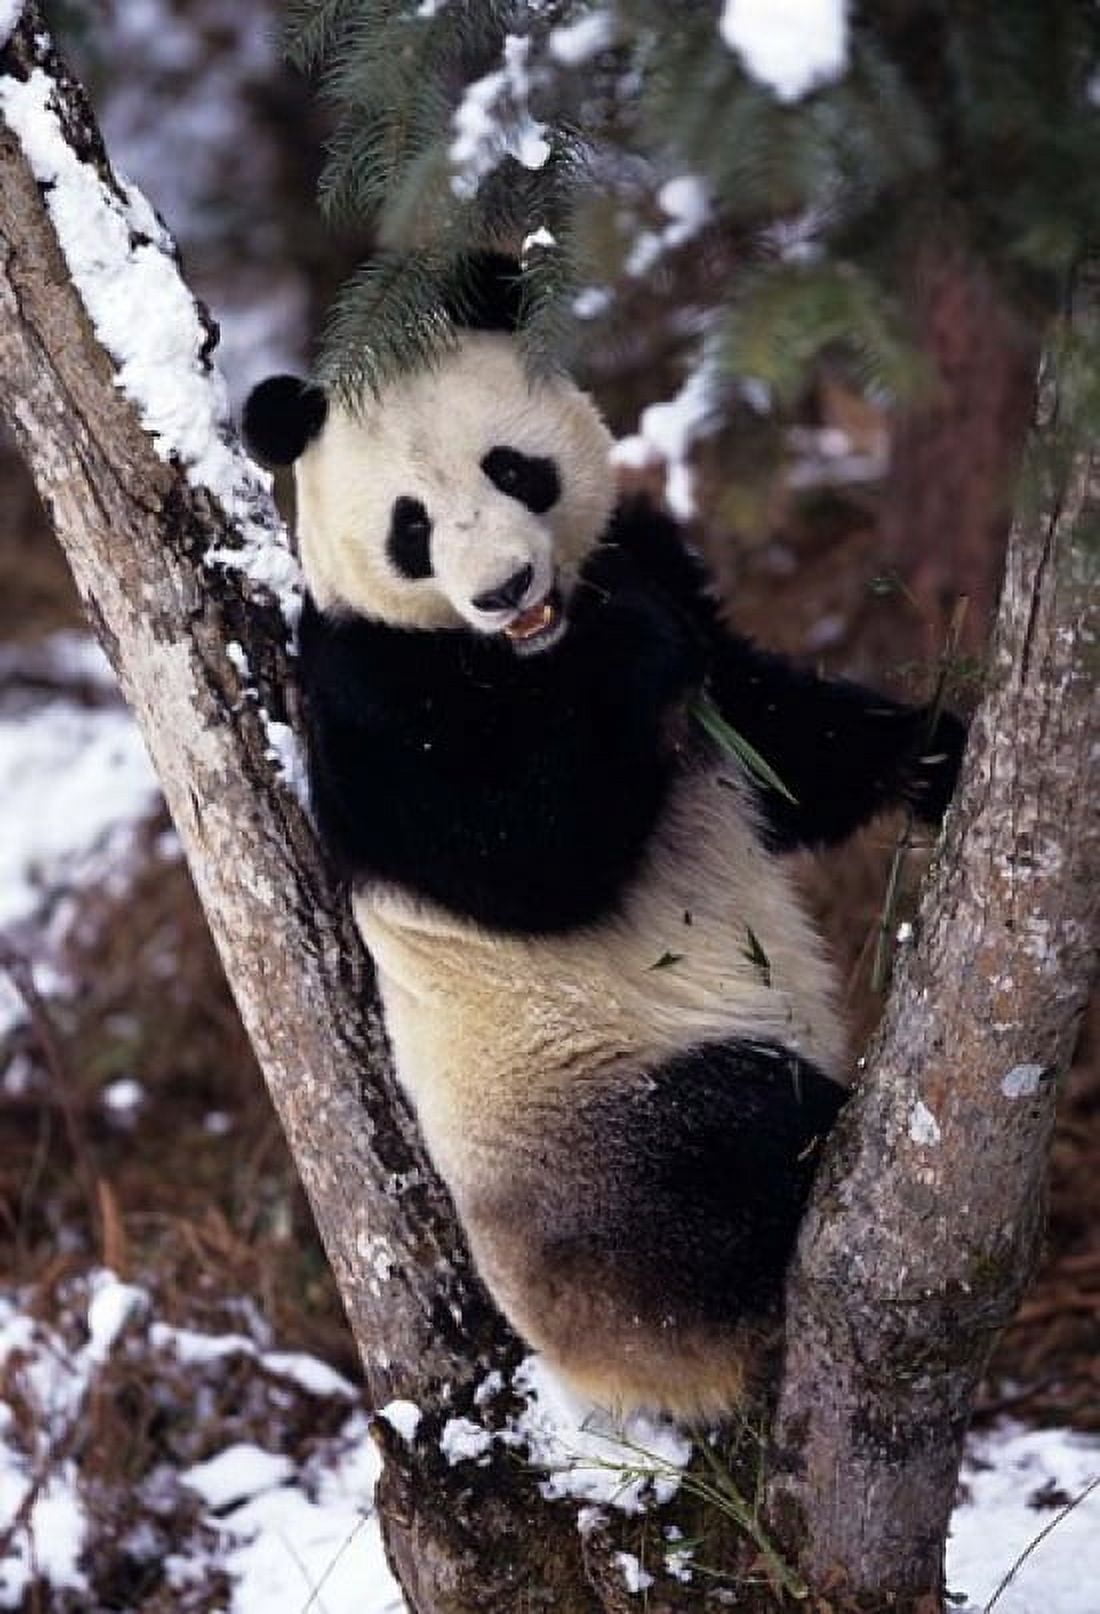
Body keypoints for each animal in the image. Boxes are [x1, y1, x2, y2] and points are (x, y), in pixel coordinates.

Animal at [243, 256, 964, 1423]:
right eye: (411, 526)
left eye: (511, 467)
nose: (503, 589)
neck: (531, 652)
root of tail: (602, 1376)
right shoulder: (374, 695)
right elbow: (526, 862)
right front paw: (630, 652)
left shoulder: (654, 559)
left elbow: (774, 743)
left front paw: (935, 756)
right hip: (607, 1143)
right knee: (730, 1144)